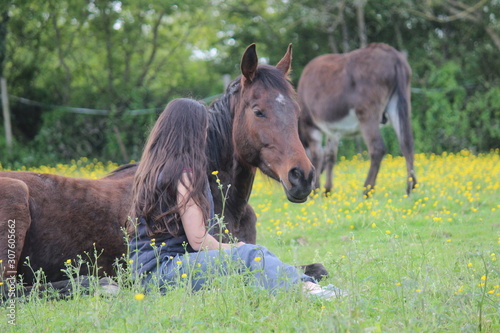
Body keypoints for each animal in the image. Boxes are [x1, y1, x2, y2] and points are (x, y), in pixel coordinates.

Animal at [296, 42, 418, 196]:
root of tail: (393, 55)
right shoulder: (333, 131)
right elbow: (330, 156)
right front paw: (327, 190)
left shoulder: (310, 126)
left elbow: (317, 156)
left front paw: (315, 191)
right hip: (400, 102)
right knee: (407, 143)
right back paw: (410, 187)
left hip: (367, 114)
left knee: (377, 148)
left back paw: (367, 190)